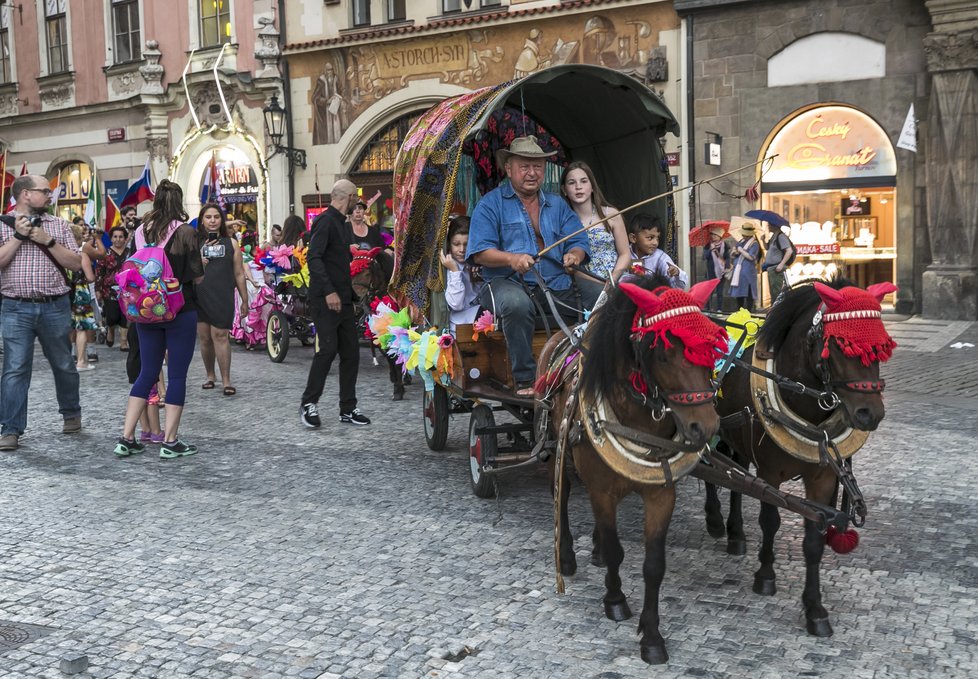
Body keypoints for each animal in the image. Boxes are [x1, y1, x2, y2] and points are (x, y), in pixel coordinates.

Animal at [350, 248, 404, 398]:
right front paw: (397, 384)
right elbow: (388, 353)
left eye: (367, 273)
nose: (356, 304)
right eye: (351, 273)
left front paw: (399, 386)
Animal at [536, 274, 728, 664]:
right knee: (560, 495)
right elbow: (616, 549)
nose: (705, 427)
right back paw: (567, 556)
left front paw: (652, 637)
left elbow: (654, 566)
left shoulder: (661, 494)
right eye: (664, 352)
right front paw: (615, 600)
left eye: (708, 351)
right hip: (556, 445)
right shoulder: (602, 491)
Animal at [704, 276, 896, 636]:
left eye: (880, 347)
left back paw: (736, 534)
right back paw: (714, 520)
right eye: (840, 345)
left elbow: (814, 542)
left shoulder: (823, 477)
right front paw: (765, 576)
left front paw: (815, 610)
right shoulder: (770, 472)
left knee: (736, 477)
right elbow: (770, 521)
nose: (870, 414)